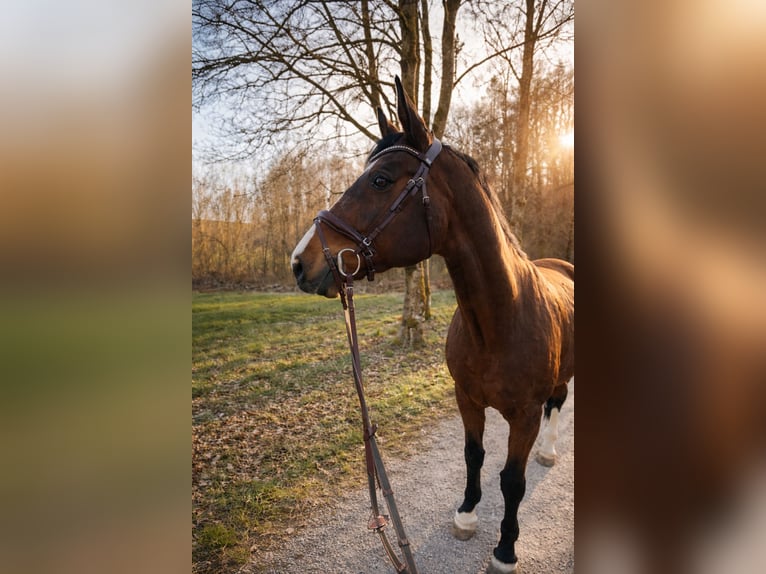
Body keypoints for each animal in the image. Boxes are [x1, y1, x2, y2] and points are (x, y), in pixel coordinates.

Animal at [291, 77, 574, 573]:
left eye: (381, 180)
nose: (300, 262)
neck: (499, 322)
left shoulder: (523, 416)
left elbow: (513, 480)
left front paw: (505, 548)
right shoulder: (466, 399)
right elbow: (474, 455)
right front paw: (466, 515)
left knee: (557, 404)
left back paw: (549, 451)